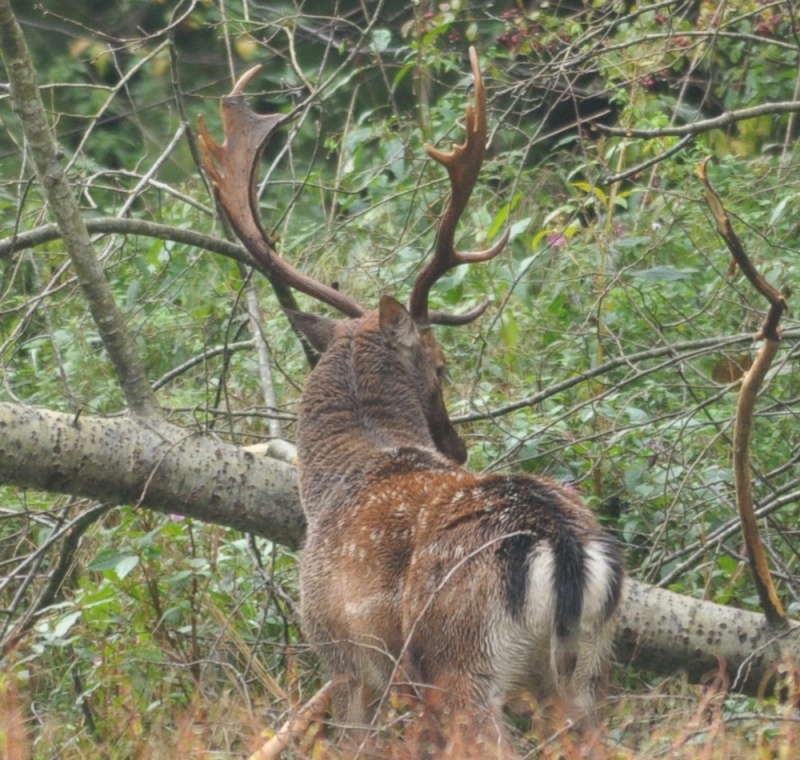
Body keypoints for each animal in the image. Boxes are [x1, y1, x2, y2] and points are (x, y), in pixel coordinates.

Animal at [200, 49, 624, 760]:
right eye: (443, 364)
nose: (457, 445)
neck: (329, 485)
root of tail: (562, 545)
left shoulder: (344, 656)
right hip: (587, 672)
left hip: (463, 655)